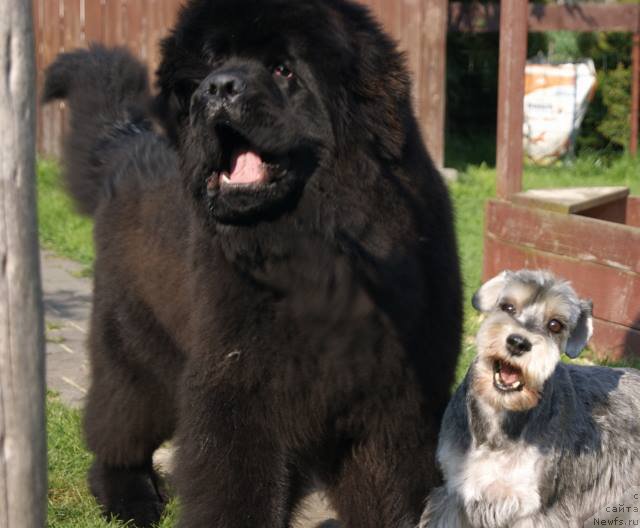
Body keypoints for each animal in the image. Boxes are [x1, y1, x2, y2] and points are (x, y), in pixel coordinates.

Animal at [43, 1, 460, 528]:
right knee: (118, 424)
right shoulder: (240, 394)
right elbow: (236, 491)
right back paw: (130, 498)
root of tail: (130, 143)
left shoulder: (398, 403)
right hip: (136, 344)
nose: (216, 88)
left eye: (283, 69)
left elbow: (396, 492)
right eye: (212, 63)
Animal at [420, 270, 640, 528]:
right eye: (507, 306)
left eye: (555, 324)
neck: (500, 422)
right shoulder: (453, 495)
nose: (518, 342)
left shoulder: (533, 510)